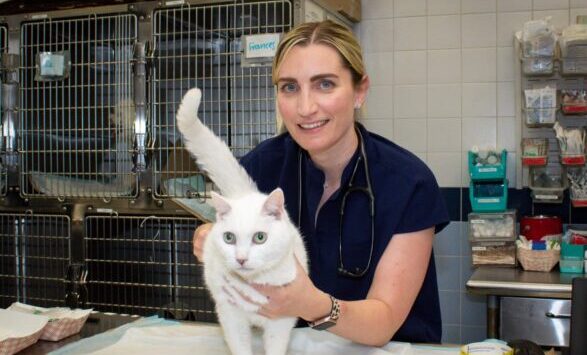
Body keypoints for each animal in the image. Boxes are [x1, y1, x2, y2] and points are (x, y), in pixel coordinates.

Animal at [176, 88, 310, 355]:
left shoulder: (281, 321)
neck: (253, 285)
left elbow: (276, 348)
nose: (240, 258)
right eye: (229, 238)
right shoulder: (230, 317)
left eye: (260, 237)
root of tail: (243, 194)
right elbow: (240, 346)